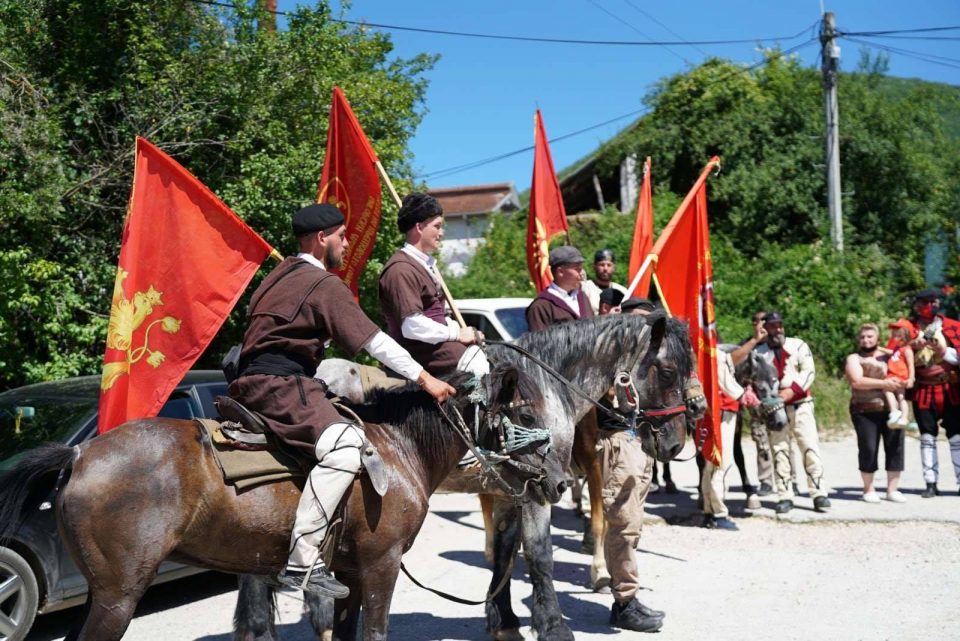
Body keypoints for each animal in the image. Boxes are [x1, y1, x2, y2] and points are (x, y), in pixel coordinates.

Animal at [0, 364, 556, 640]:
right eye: (524, 412)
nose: (555, 480)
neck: (399, 448)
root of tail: (78, 453)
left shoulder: (350, 575)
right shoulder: (381, 567)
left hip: (102, 594)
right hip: (118, 597)